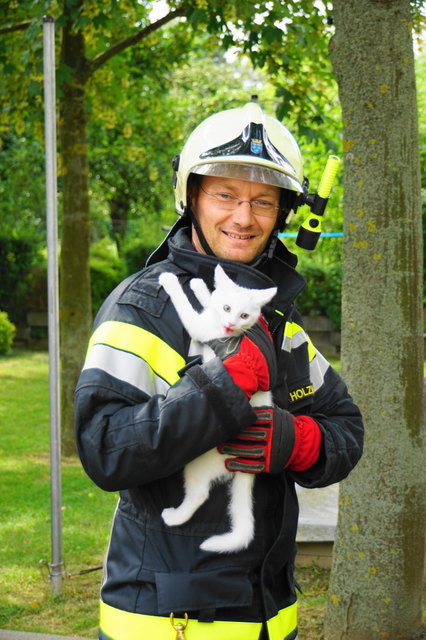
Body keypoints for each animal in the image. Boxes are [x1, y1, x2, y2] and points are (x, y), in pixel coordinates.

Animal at [159, 262, 276, 552]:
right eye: (226, 308)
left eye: (244, 315)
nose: (231, 324)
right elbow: (208, 300)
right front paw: (203, 288)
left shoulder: (200, 327)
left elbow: (185, 307)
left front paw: (171, 282)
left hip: (198, 462)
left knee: (200, 493)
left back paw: (174, 517)